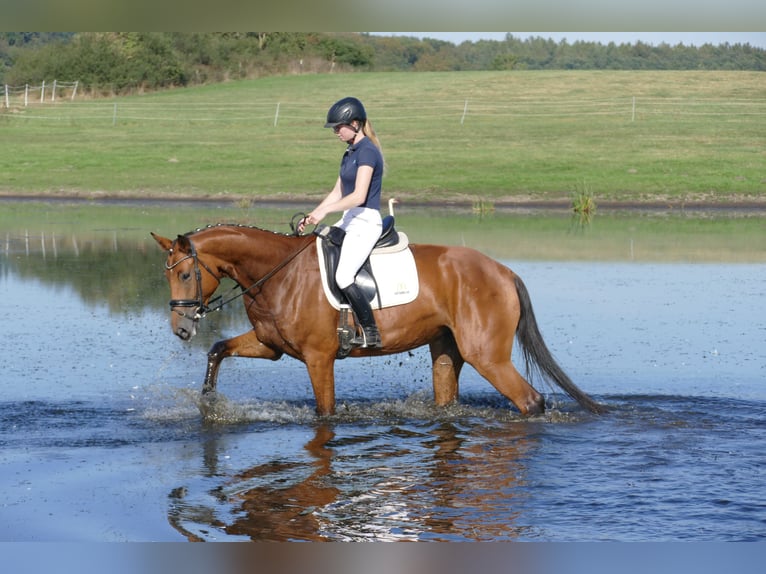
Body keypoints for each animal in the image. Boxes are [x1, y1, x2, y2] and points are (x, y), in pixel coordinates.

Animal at [150, 223, 608, 416]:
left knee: (530, 402)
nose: (181, 328)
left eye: (186, 275)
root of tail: (504, 271)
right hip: (447, 351)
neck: (278, 273)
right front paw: (207, 402)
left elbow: (325, 413)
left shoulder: (319, 358)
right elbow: (217, 349)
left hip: (487, 356)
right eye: (167, 275)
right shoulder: (270, 345)